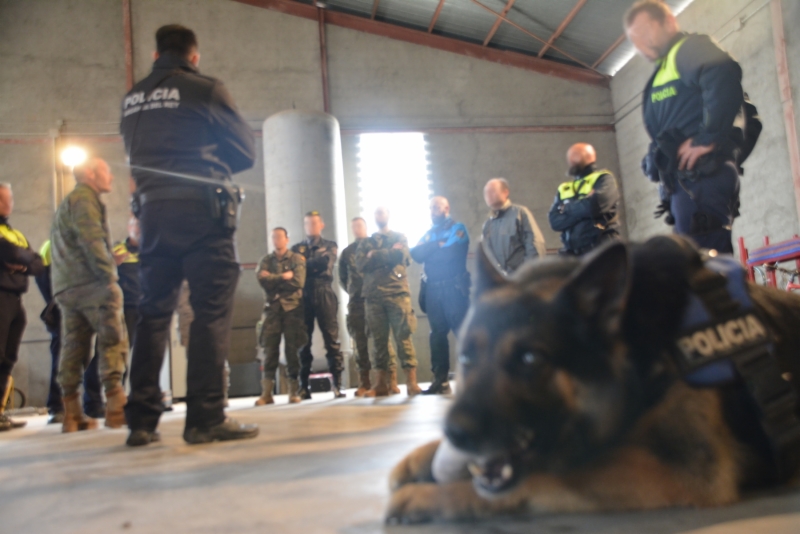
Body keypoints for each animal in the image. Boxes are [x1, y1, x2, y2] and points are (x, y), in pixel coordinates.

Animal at [386, 237, 800, 524]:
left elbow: (545, 478)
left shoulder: (682, 473)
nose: (454, 432)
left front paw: (428, 497)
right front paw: (416, 459)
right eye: (467, 359)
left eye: (530, 359)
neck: (633, 349)